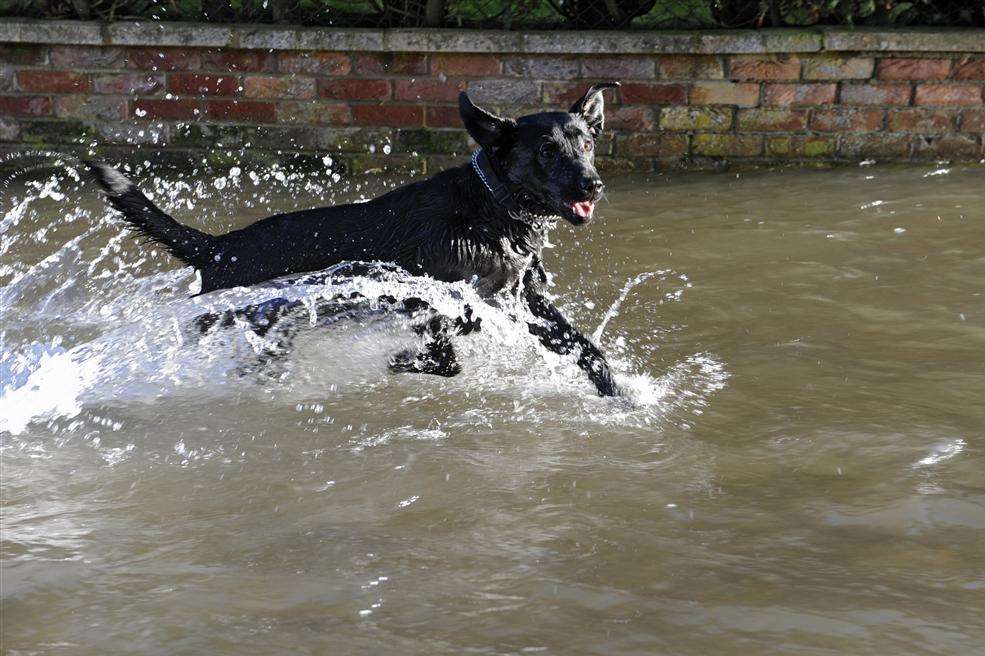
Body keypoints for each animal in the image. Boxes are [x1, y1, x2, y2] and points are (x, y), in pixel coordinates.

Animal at [86, 79, 624, 392]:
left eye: (587, 143)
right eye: (548, 150)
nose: (593, 186)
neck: (489, 207)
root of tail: (217, 247)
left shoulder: (522, 299)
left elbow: (586, 351)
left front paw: (620, 394)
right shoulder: (436, 299)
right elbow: (445, 355)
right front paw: (402, 362)